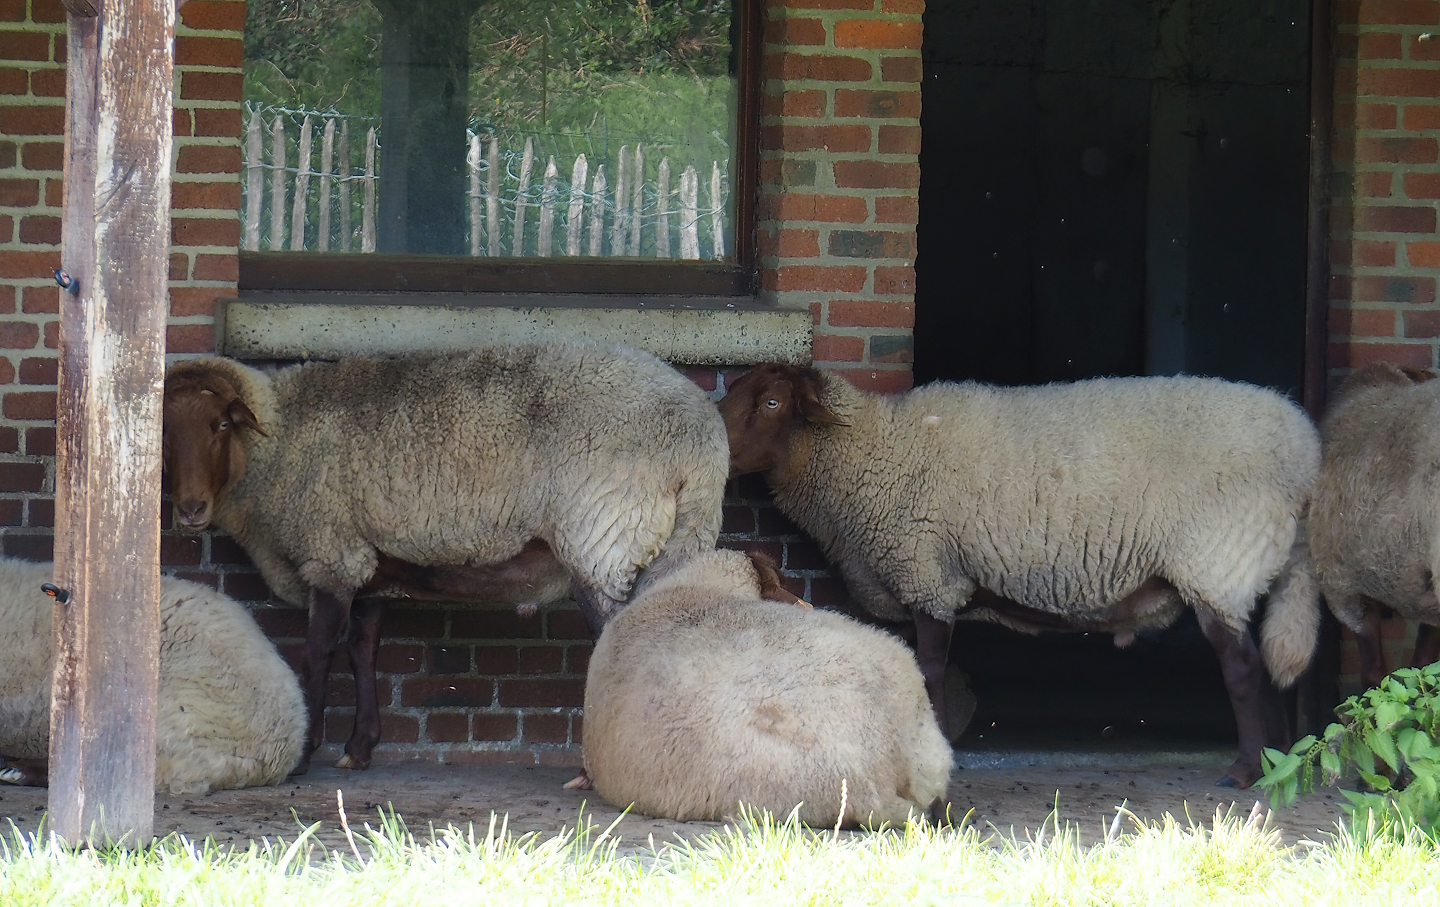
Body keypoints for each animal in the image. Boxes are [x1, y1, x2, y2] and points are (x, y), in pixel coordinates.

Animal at [162, 341, 729, 772]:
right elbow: (363, 650)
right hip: (673, 544)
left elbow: (318, 651)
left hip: (604, 534)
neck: (279, 441)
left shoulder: (332, 553)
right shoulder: (369, 562)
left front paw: (305, 751)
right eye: (163, 431)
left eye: (220, 425)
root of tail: (701, 445)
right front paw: (359, 747)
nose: (189, 510)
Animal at [718, 363, 1322, 788]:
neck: (869, 447)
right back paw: (1278, 763)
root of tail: (1306, 456)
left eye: (771, 402)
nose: (716, 451)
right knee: (1268, 669)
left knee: (1243, 668)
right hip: (1241, 566)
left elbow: (930, 672)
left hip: (1217, 562)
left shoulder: (929, 575)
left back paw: (1244, 772)